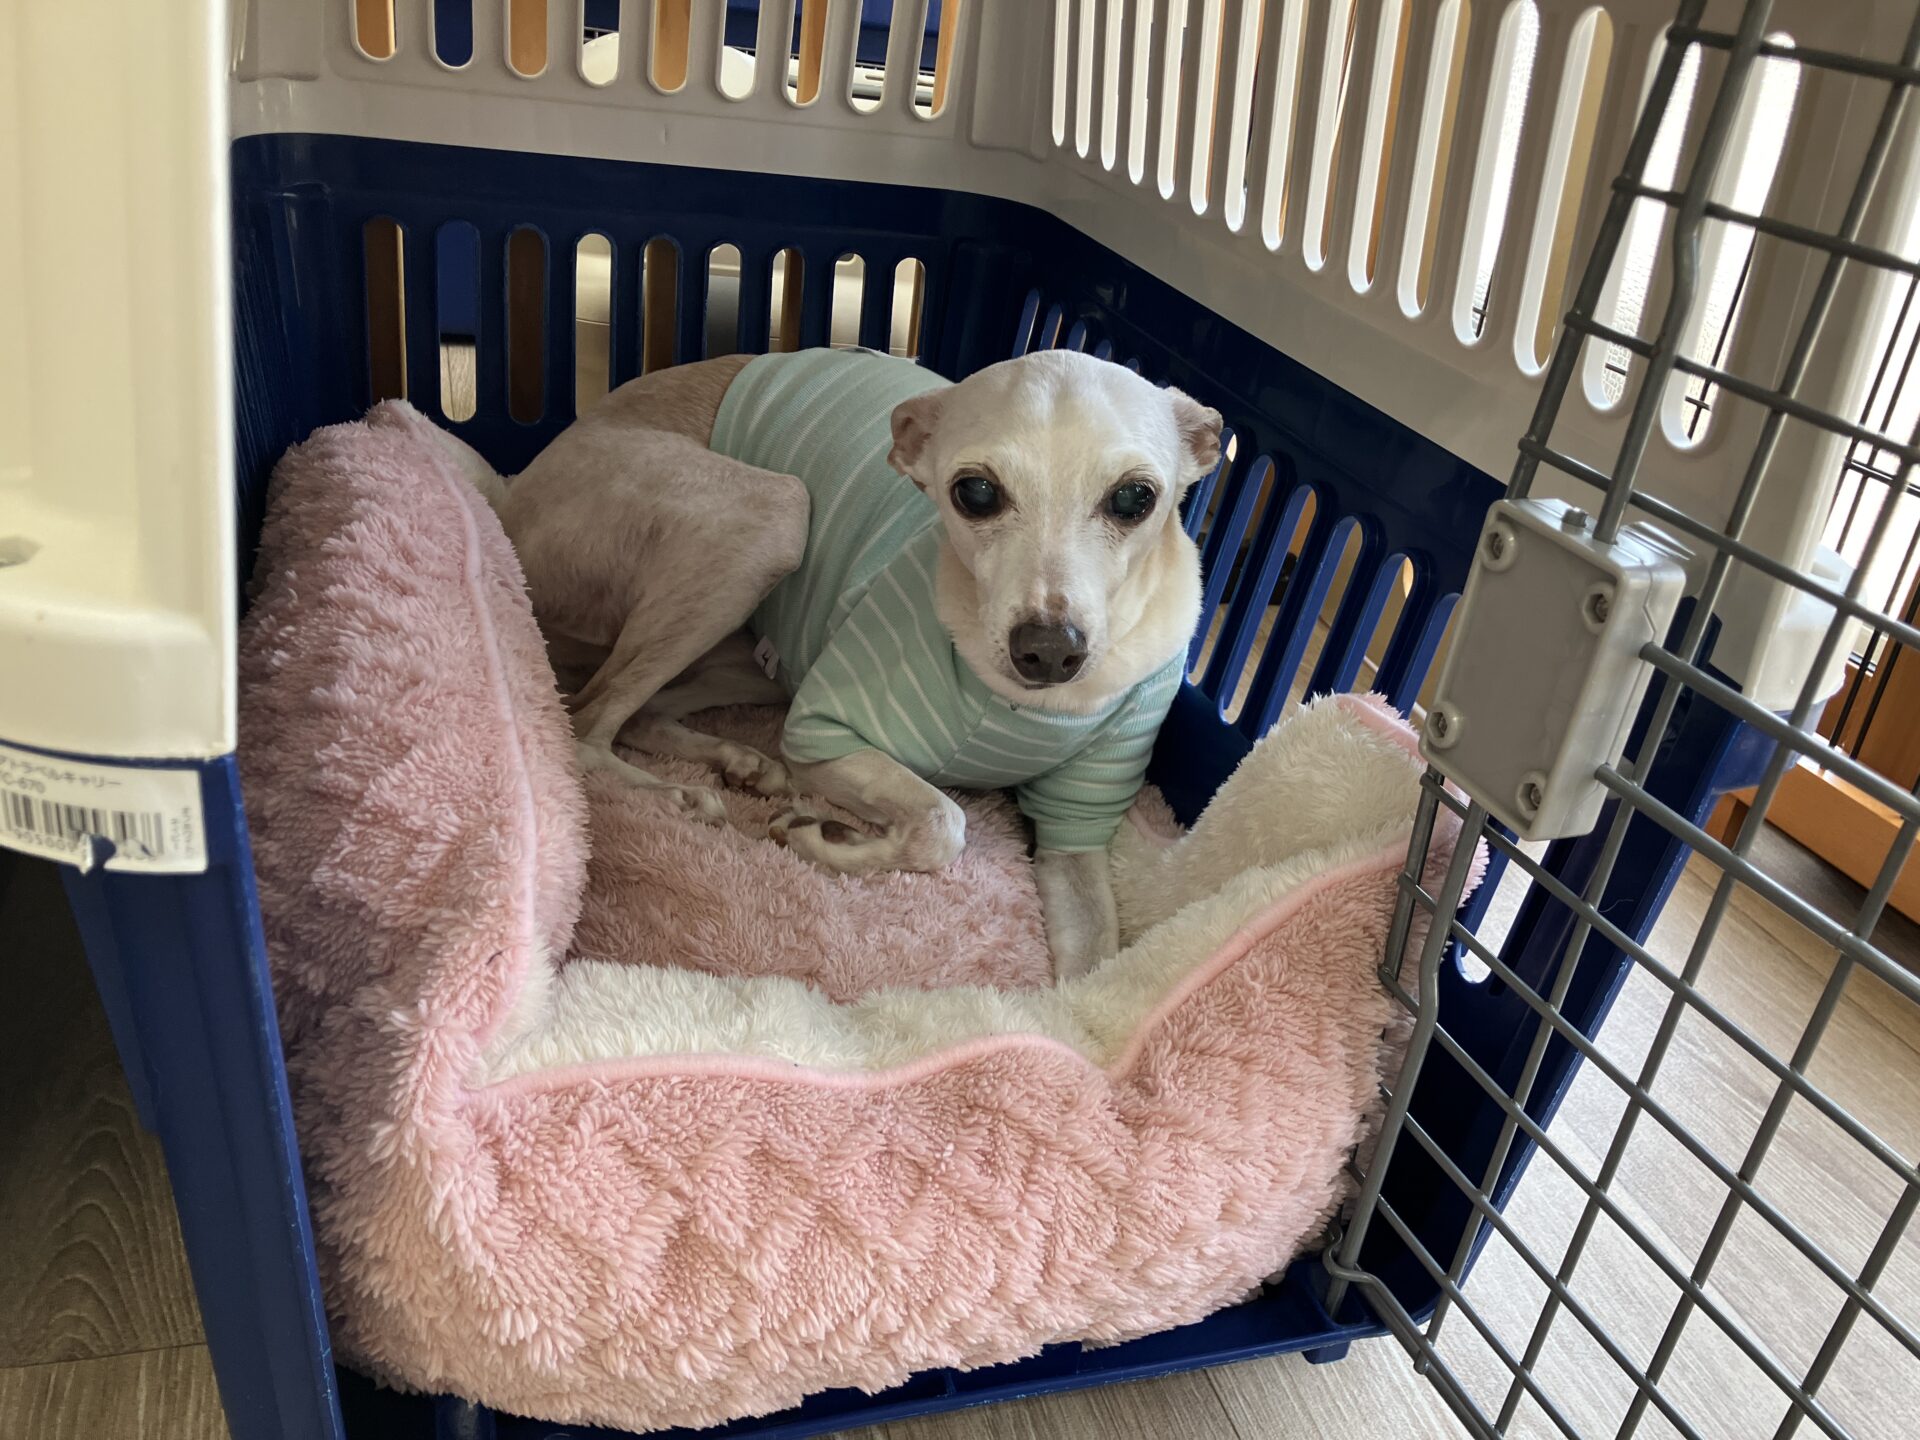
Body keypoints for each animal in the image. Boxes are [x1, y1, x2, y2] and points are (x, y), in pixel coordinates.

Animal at [472, 347, 1220, 978]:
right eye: (975, 493)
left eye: (1135, 498)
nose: (1049, 651)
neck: (1026, 706)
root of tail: (512, 496)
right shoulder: (820, 734)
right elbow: (944, 824)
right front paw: (821, 837)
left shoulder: (1077, 831)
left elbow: (1092, 966)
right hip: (767, 523)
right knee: (589, 718)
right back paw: (678, 794)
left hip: (761, 657)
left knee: (637, 711)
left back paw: (735, 762)